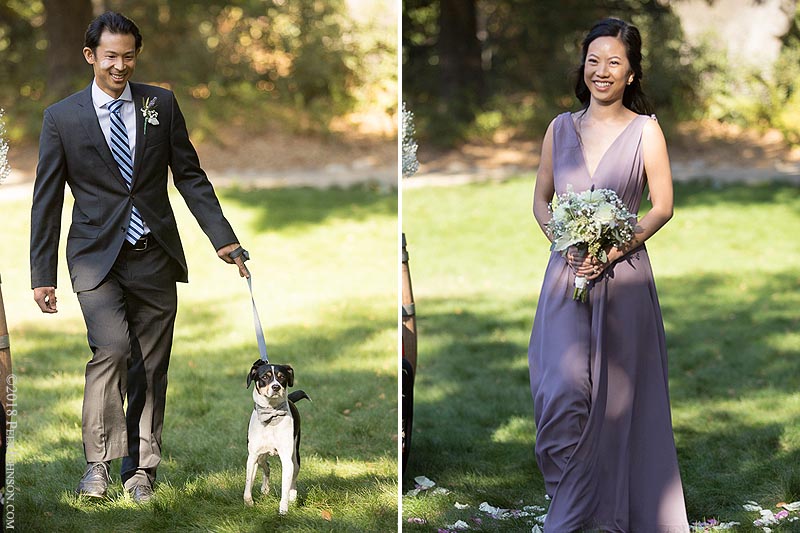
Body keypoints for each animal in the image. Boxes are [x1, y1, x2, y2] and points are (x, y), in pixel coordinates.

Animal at [244, 358, 310, 512]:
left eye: (282, 377)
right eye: (264, 377)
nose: (276, 387)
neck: (271, 414)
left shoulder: (286, 459)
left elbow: (285, 487)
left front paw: (283, 510)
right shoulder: (252, 456)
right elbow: (248, 484)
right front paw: (248, 502)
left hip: (295, 456)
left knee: (293, 477)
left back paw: (292, 496)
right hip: (260, 457)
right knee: (266, 465)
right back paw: (265, 488)